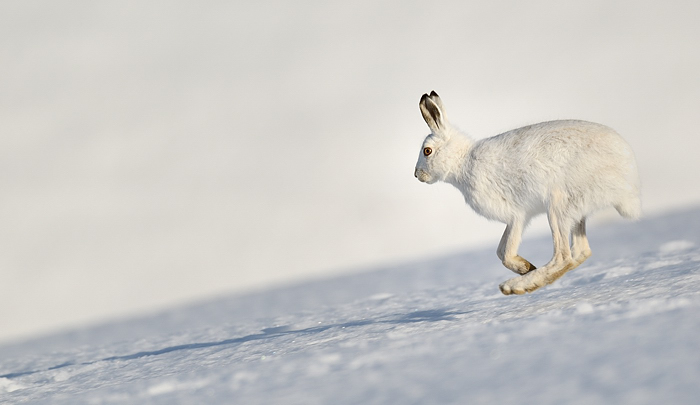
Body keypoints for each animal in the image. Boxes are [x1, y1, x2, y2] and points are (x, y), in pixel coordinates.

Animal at [414, 91, 641, 295]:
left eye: (427, 151)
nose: (417, 175)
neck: (463, 161)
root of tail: (627, 185)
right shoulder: (513, 220)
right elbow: (499, 251)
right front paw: (525, 267)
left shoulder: (517, 216)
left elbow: (506, 253)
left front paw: (526, 269)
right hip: (575, 210)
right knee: (581, 251)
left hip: (558, 204)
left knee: (563, 256)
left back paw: (516, 286)